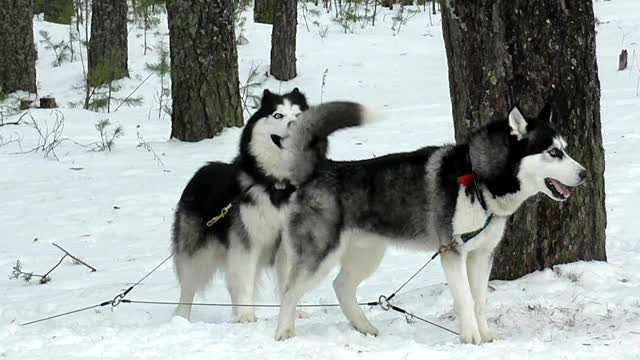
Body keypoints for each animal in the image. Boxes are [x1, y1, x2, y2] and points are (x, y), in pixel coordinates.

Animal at [171, 88, 308, 324]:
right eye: (278, 115)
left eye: (298, 115)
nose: (294, 125)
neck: (277, 185)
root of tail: (201, 171)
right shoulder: (246, 241)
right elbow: (243, 280)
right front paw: (246, 316)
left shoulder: (289, 243)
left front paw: (294, 311)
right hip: (196, 251)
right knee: (188, 286)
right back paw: (181, 319)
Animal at [274, 102, 584, 344]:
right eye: (553, 152)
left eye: (566, 149)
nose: (584, 173)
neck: (478, 178)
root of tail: (319, 169)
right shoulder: (453, 251)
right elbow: (465, 298)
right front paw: (471, 338)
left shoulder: (482, 254)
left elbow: (479, 300)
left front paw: (485, 336)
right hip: (319, 256)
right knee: (289, 291)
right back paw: (284, 333)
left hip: (367, 255)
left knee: (341, 286)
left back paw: (365, 328)